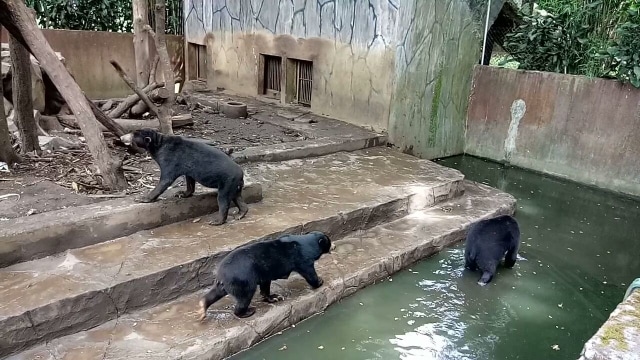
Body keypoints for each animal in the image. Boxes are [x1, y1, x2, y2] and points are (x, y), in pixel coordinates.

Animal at [120, 129, 248, 225]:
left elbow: (165, 180)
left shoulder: (170, 158)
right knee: (237, 197)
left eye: (132, 135)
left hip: (226, 182)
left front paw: (142, 198)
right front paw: (181, 193)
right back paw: (240, 214)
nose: (121, 137)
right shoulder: (188, 167)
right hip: (234, 185)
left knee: (223, 199)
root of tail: (241, 174)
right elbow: (189, 180)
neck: (158, 143)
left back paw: (217, 221)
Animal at [198, 231, 332, 320]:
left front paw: (274, 297)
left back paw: (202, 306)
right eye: (329, 243)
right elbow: (308, 271)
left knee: (215, 293)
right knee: (245, 297)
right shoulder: (302, 257)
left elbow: (265, 284)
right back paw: (247, 312)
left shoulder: (265, 272)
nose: (333, 246)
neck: (306, 243)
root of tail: (221, 275)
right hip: (243, 279)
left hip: (226, 283)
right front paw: (320, 281)